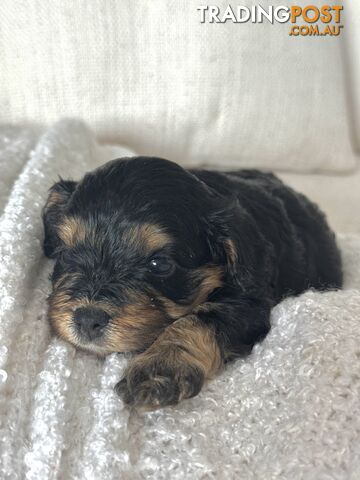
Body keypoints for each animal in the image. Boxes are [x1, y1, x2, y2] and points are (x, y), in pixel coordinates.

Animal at [42, 158, 344, 408]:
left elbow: (200, 319)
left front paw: (161, 367)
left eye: (160, 264)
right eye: (66, 252)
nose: (87, 320)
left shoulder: (252, 303)